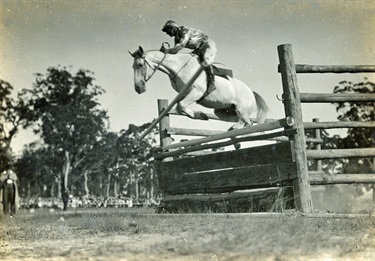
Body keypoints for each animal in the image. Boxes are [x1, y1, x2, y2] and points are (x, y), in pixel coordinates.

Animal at [130, 46, 270, 130]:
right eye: (133, 66)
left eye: (140, 65)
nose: (138, 88)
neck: (179, 66)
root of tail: (252, 93)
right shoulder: (184, 94)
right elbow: (179, 107)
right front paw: (200, 115)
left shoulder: (196, 92)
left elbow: (181, 105)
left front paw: (200, 115)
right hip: (222, 112)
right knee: (240, 121)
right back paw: (233, 129)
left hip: (242, 109)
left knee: (247, 122)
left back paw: (235, 129)